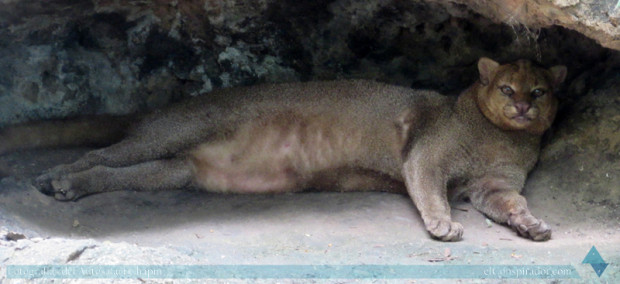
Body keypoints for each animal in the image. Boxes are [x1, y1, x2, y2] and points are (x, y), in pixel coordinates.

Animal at [0, 57, 564, 242]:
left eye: (539, 91)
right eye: (506, 88)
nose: (522, 107)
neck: (502, 139)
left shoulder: (490, 185)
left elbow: (511, 202)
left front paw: (532, 224)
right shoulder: (428, 154)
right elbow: (430, 191)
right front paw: (443, 225)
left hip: (175, 169)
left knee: (125, 171)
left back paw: (69, 186)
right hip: (172, 132)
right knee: (101, 154)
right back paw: (57, 178)